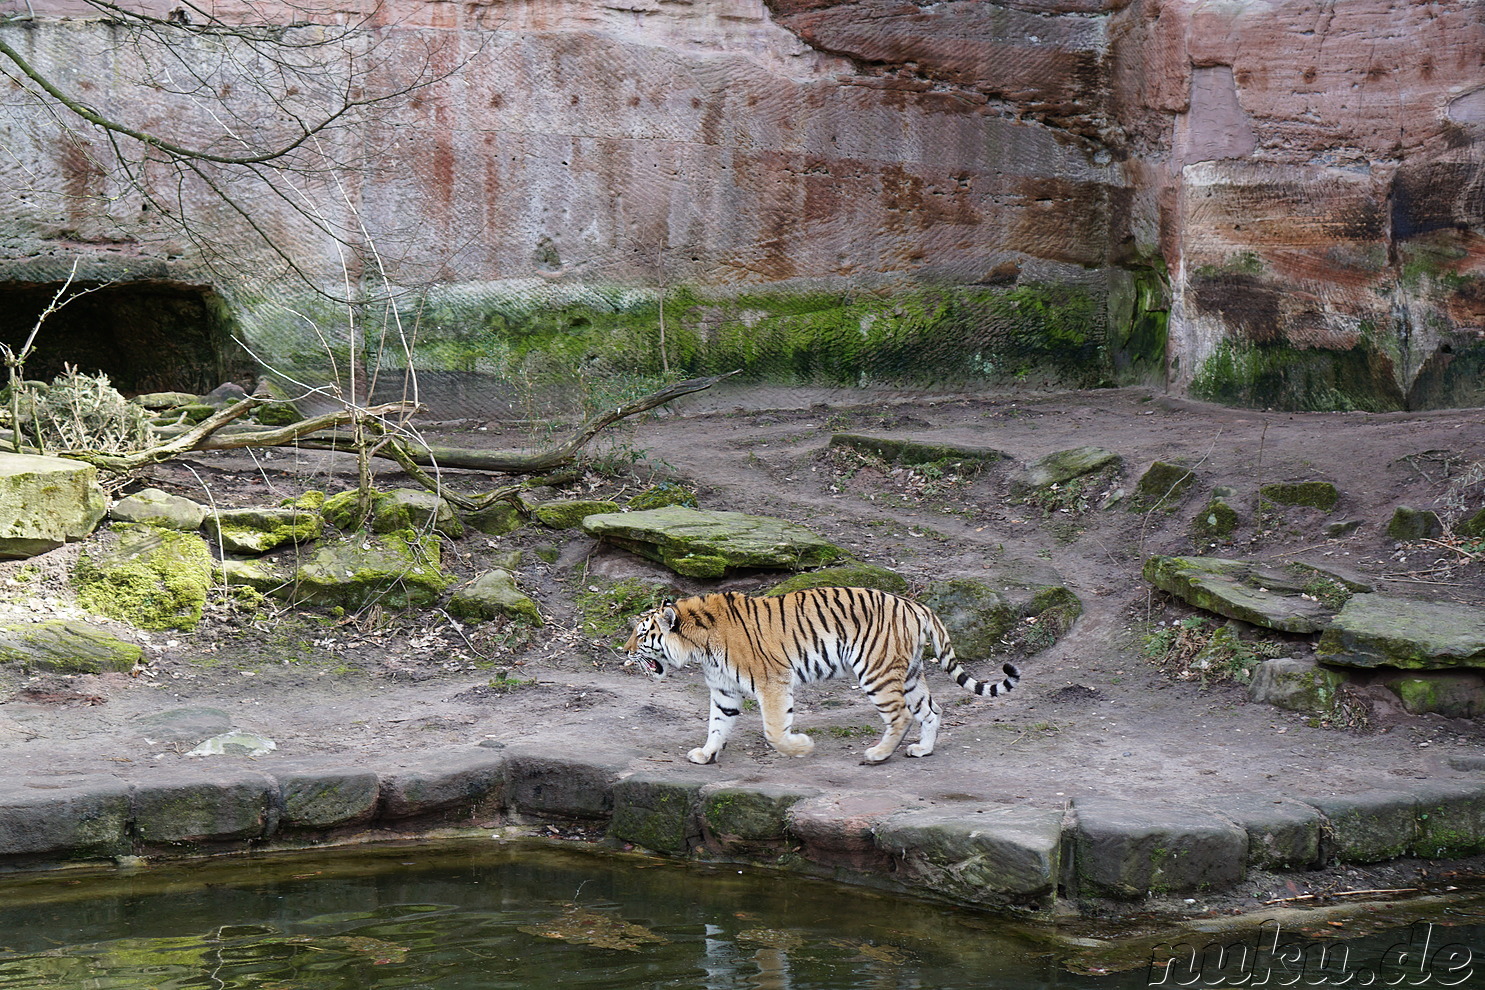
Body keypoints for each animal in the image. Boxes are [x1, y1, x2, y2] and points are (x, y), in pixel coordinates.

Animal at [617, 587, 1021, 765]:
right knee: (932, 710)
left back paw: (877, 755)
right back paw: (922, 749)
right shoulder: (724, 691)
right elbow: (717, 724)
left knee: (901, 714)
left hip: (875, 670)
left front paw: (802, 747)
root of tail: (915, 604)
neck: (700, 646)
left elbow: (774, 730)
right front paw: (706, 754)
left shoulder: (773, 682)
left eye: (642, 633)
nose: (622, 651)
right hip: (909, 673)